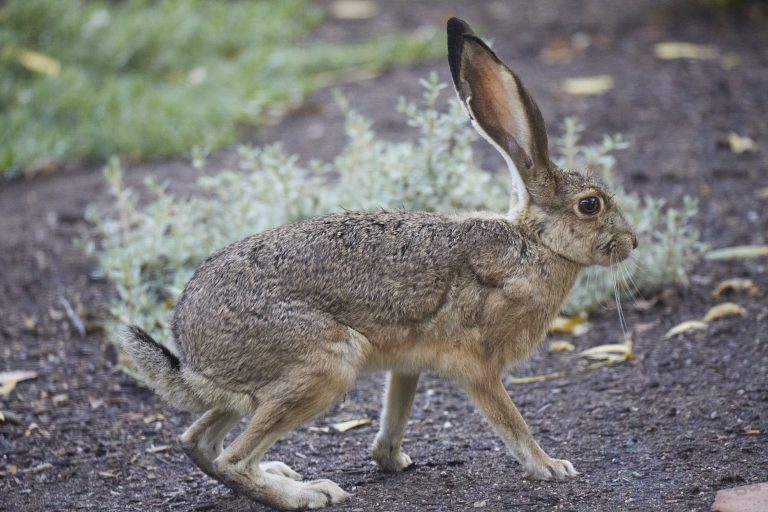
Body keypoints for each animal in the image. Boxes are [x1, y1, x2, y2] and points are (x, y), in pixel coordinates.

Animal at [123, 17, 637, 510]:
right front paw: (550, 467)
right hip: (322, 364)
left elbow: (397, 409)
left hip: (256, 388)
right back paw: (309, 494)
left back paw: (282, 474)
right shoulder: (478, 363)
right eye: (590, 205)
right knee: (233, 459)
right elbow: (511, 420)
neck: (535, 245)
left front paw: (390, 459)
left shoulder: (408, 362)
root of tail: (191, 349)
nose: (631, 243)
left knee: (199, 442)